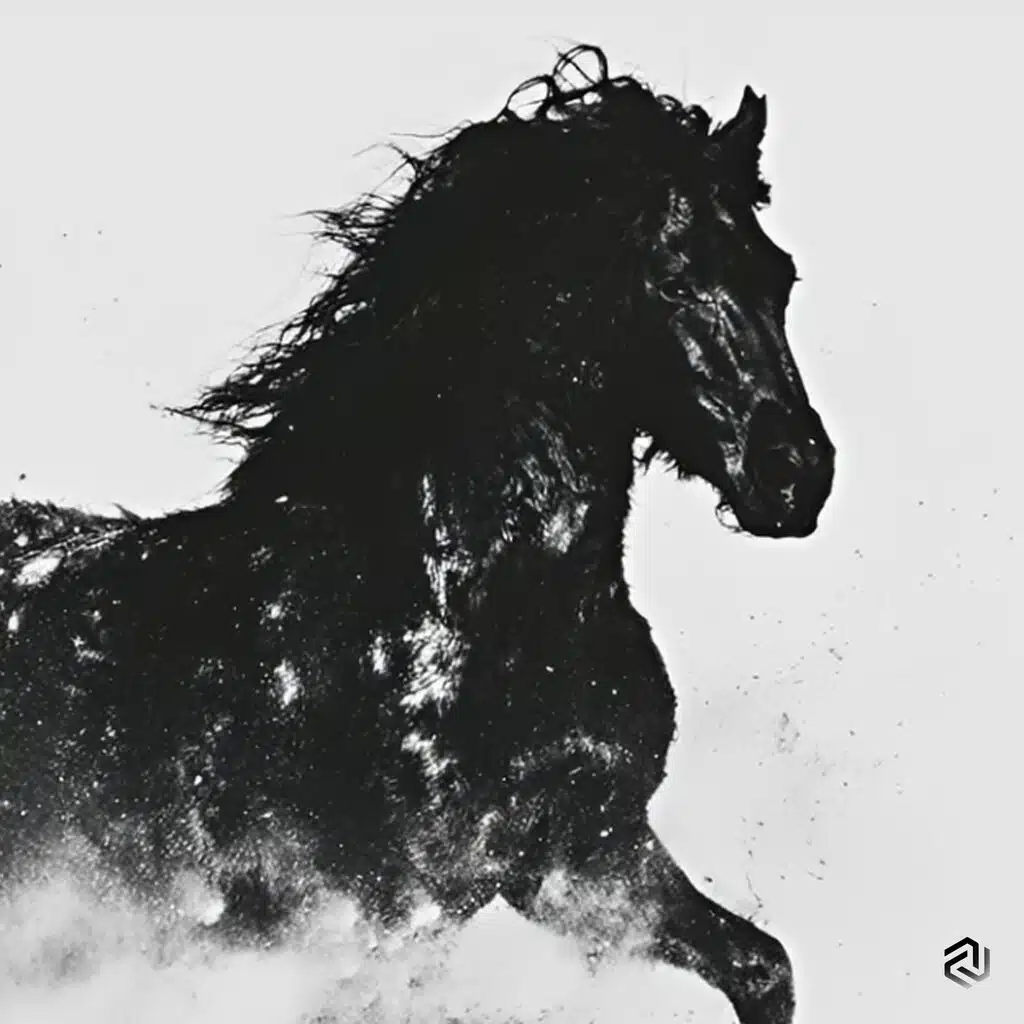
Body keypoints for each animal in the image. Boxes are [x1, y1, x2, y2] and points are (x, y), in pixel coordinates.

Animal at [0, 46, 834, 1024]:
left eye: (780, 275)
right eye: (670, 277)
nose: (797, 473)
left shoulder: (585, 860)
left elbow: (763, 965)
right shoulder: (362, 922)